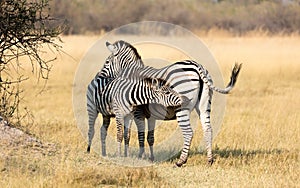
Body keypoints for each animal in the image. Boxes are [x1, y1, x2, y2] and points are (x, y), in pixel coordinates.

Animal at [99, 39, 243, 166]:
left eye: (107, 62)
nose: (100, 77)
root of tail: (198, 67)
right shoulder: (151, 116)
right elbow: (149, 137)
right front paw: (149, 158)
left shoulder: (137, 112)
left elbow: (138, 134)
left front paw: (140, 156)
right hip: (204, 105)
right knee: (208, 129)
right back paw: (209, 160)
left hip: (181, 107)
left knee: (188, 132)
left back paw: (181, 161)